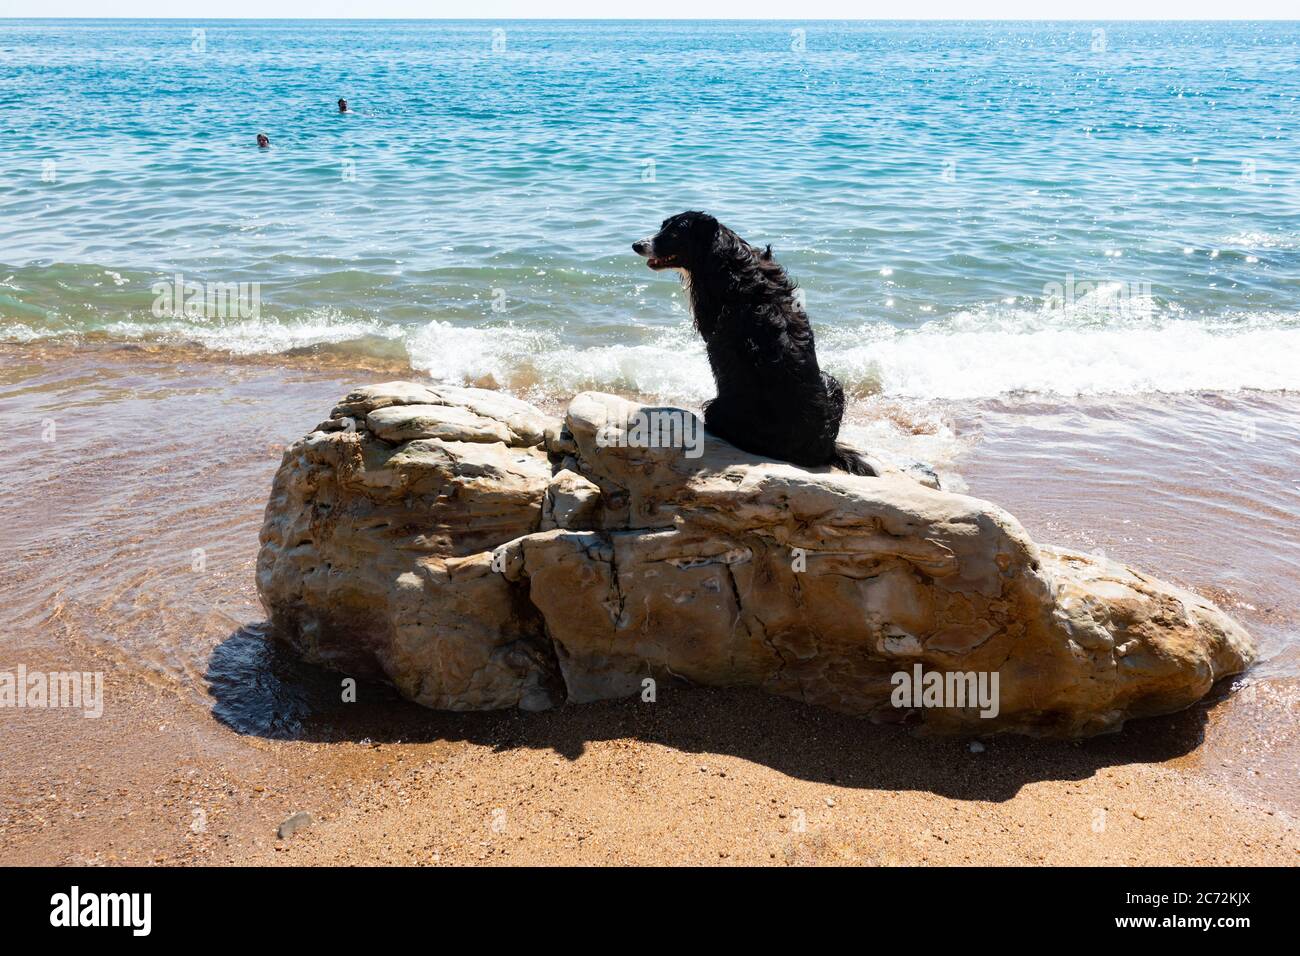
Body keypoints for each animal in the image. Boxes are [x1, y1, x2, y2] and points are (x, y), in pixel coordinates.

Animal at [637, 210, 878, 476]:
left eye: (674, 233)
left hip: (717, 408)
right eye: (663, 227)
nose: (636, 245)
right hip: (831, 381)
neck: (722, 256)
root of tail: (823, 450)